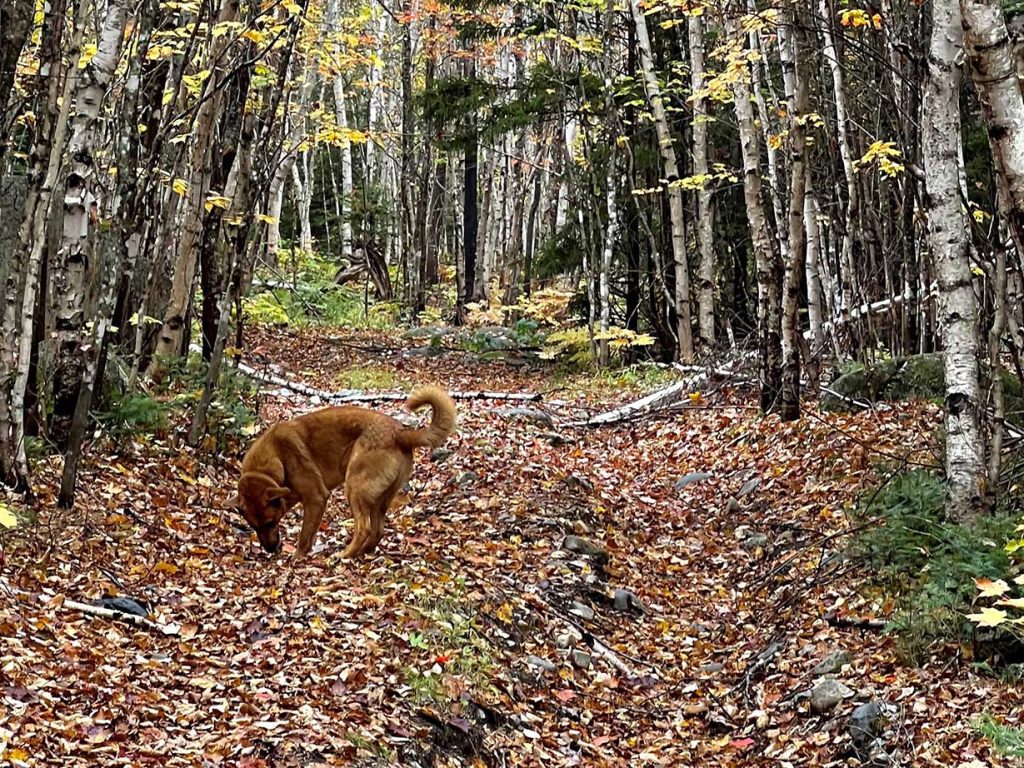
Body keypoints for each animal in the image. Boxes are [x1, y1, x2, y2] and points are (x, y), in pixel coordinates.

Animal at [230, 391, 458, 561]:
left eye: (271, 522)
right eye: (254, 526)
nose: (270, 549)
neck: (274, 458)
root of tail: (400, 432)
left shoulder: (316, 497)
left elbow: (304, 536)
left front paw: (297, 557)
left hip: (354, 489)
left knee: (364, 528)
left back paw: (345, 554)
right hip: (377, 499)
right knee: (377, 531)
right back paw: (362, 553)